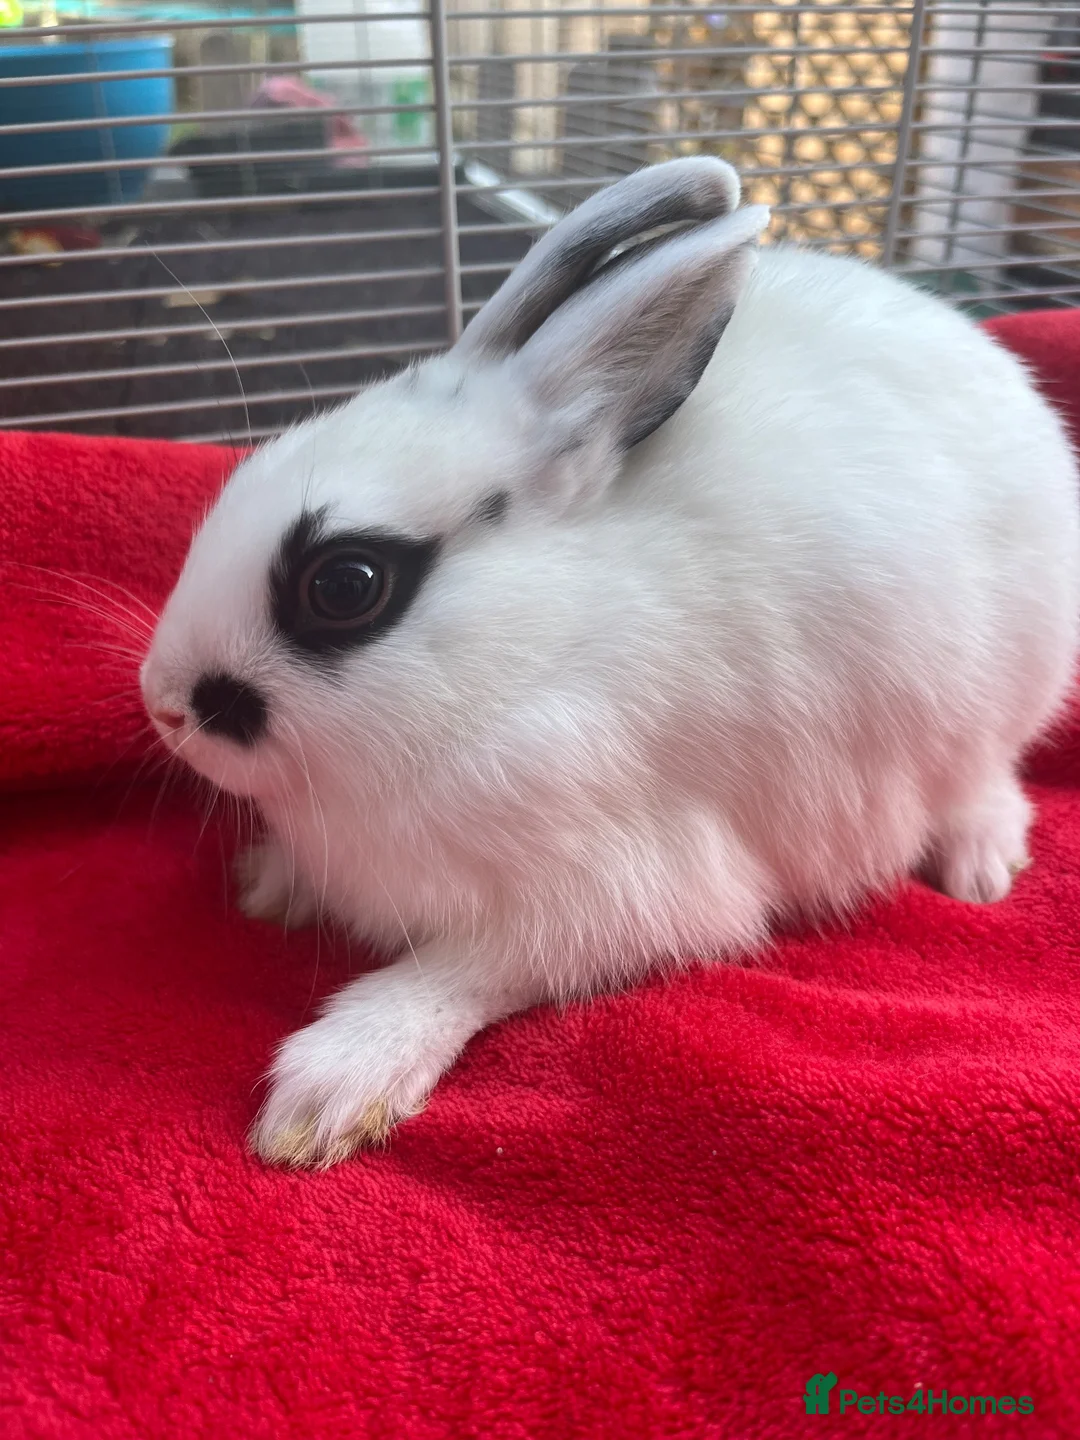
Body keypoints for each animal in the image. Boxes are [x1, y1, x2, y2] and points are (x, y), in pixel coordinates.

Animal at [141, 157, 1080, 1168]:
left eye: (345, 584)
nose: (163, 706)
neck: (528, 656)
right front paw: (267, 886)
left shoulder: (610, 891)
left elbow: (457, 974)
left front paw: (326, 1094)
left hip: (989, 701)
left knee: (989, 780)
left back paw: (981, 872)